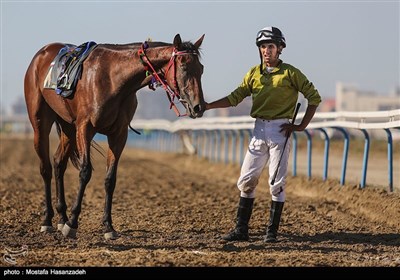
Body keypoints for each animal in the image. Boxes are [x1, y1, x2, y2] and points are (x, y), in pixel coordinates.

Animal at [24, 33, 206, 238]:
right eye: (183, 66)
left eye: (201, 69)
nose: (198, 107)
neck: (112, 79)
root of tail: (42, 54)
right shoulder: (85, 128)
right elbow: (85, 172)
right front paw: (73, 223)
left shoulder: (118, 134)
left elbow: (110, 179)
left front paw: (108, 226)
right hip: (40, 122)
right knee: (45, 168)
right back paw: (47, 220)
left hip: (68, 126)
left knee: (58, 163)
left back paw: (61, 218)